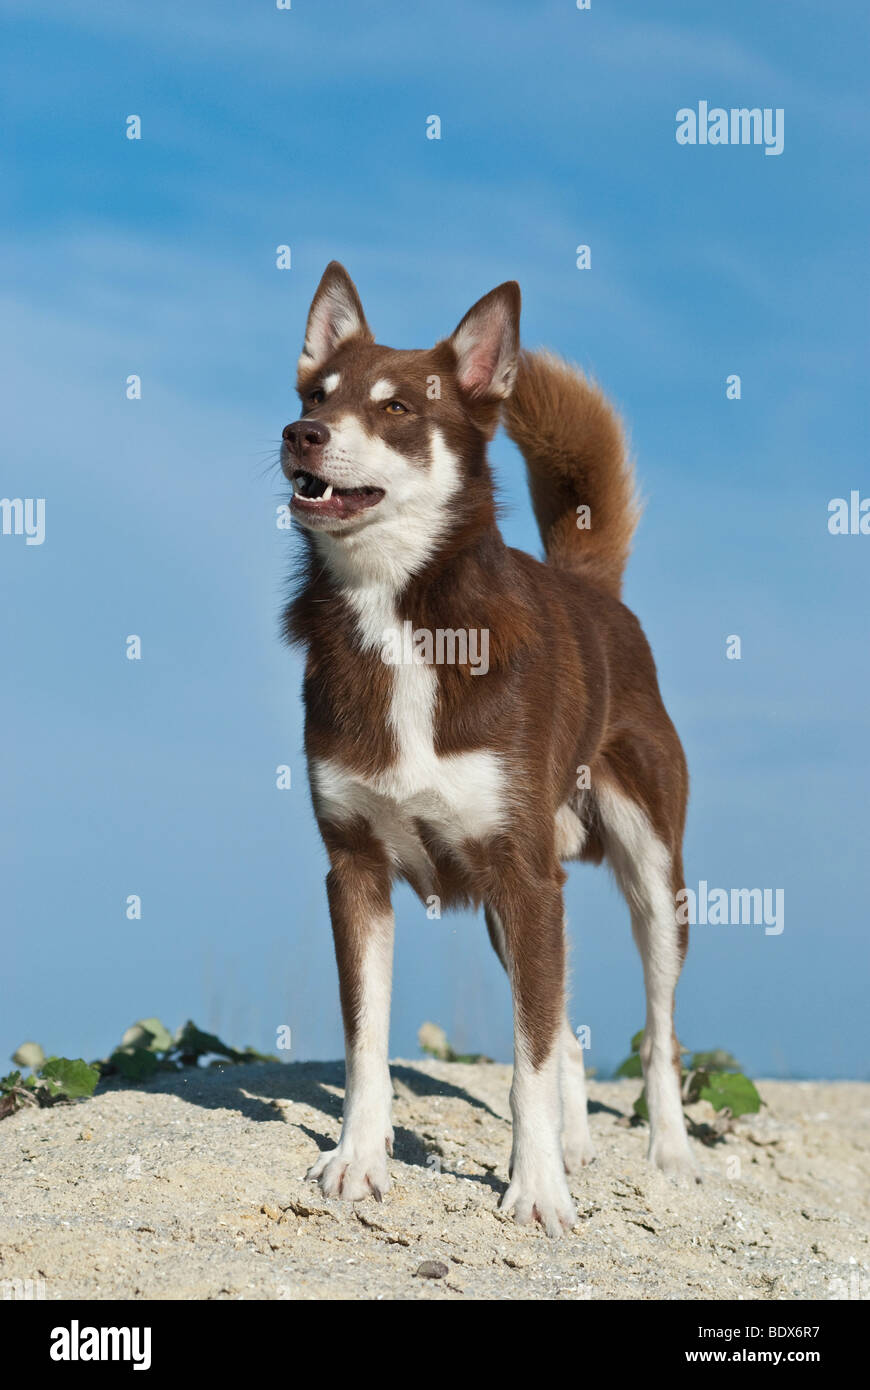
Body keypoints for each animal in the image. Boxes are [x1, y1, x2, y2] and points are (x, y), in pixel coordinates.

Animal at [280, 261, 694, 1239]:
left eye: (396, 408)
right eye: (316, 394)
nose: (299, 434)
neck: (398, 615)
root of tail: (595, 591)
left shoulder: (525, 876)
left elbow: (527, 1061)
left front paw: (536, 1190)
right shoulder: (355, 870)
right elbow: (367, 1041)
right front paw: (358, 1161)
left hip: (650, 876)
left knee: (656, 1030)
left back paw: (667, 1153)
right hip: (521, 906)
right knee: (565, 1026)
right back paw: (578, 1143)